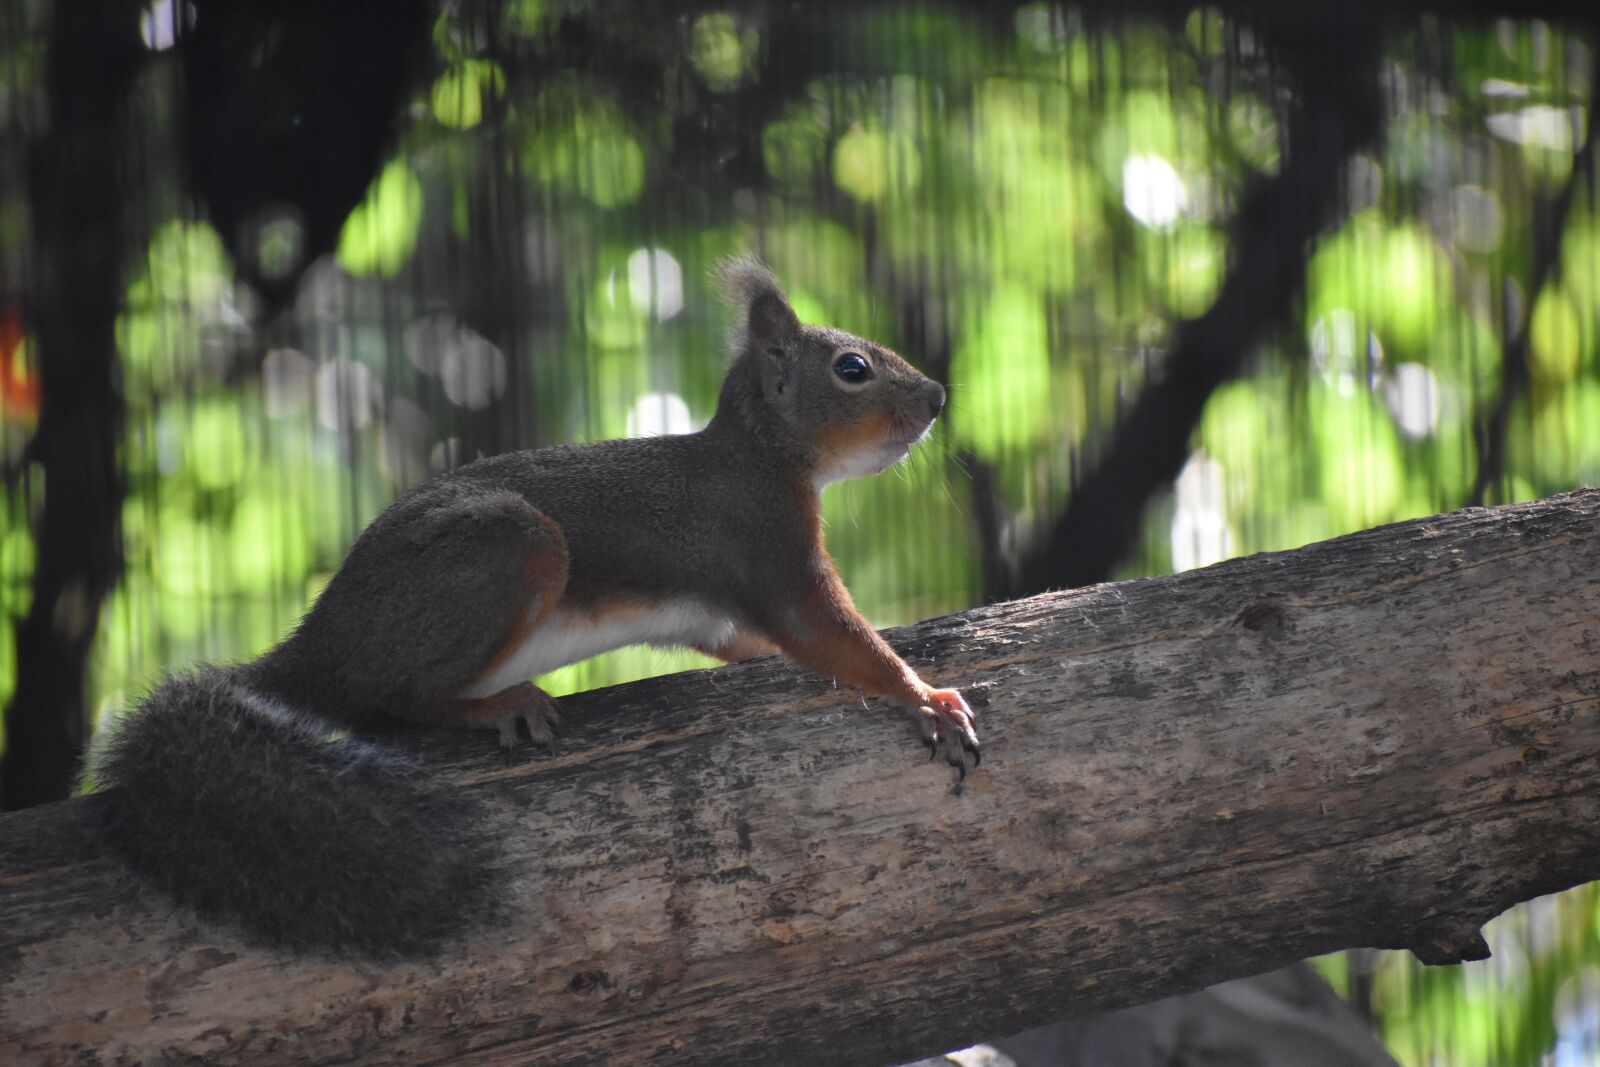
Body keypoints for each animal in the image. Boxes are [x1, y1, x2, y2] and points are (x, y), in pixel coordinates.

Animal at [89, 255, 979, 956]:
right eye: (852, 369)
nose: (938, 396)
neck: (760, 452)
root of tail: (318, 644)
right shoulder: (767, 545)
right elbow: (829, 635)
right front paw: (925, 695)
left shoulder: (722, 610)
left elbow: (749, 644)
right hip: (511, 548)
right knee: (390, 701)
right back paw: (500, 705)